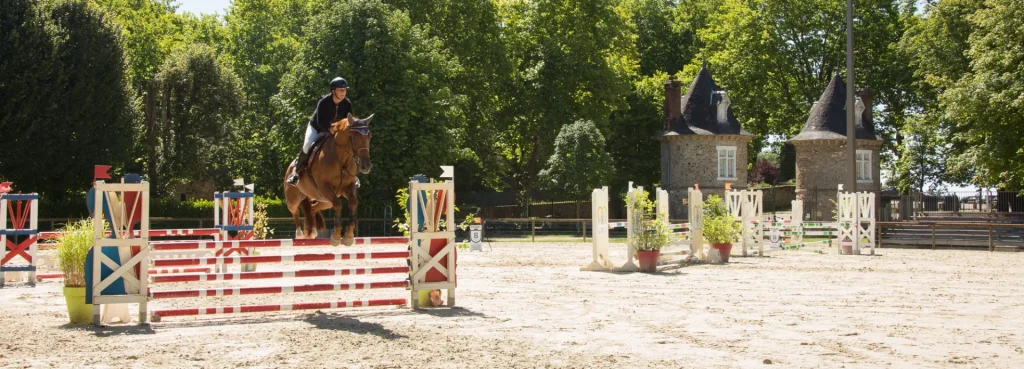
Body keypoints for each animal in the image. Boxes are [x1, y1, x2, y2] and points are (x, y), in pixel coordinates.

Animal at [282, 112, 374, 244]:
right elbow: (338, 204)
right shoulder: (324, 187)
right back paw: (299, 234)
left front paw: (348, 236)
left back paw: (312, 231)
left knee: (312, 209)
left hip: (324, 201)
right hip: (293, 199)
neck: (341, 161)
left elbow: (353, 203)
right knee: (295, 211)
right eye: (354, 137)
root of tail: (289, 168)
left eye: (369, 137)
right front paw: (336, 236)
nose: (366, 166)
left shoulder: (348, 187)